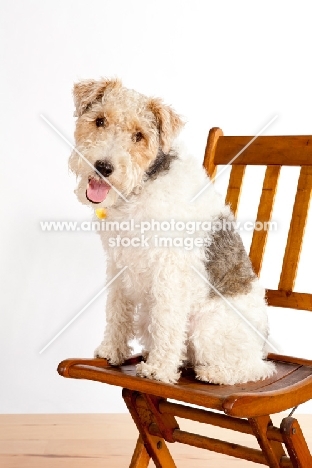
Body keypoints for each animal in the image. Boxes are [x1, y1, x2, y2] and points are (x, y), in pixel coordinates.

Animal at [69, 77, 276, 384]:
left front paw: (158, 369)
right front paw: (111, 351)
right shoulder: (118, 262)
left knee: (253, 369)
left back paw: (212, 373)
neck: (143, 185)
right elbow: (117, 311)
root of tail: (262, 345)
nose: (103, 167)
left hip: (209, 327)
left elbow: (166, 321)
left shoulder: (169, 269)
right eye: (100, 120)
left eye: (139, 135)